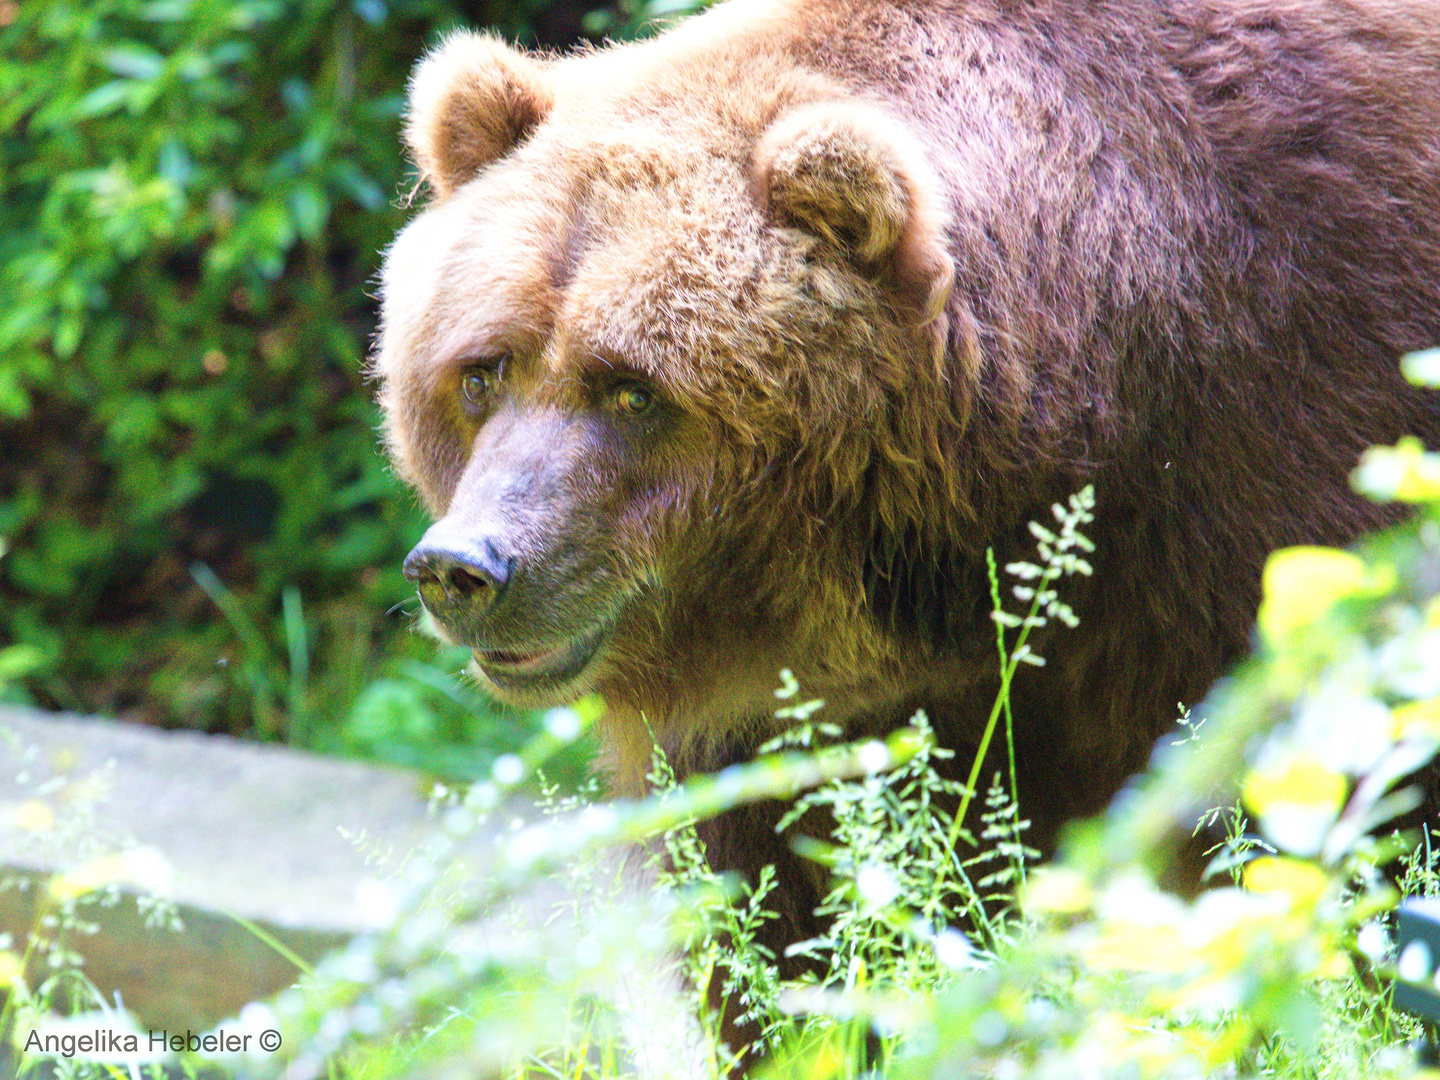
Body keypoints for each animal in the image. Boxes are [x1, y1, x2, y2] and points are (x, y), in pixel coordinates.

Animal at [374, 0, 1440, 1054]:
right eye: (484, 370)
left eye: (633, 389)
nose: (464, 567)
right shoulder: (824, 716)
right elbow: (785, 919)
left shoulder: (1295, 463)